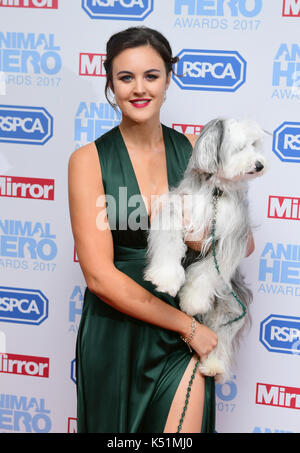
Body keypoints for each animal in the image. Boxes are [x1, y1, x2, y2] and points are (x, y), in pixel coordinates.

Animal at [144, 118, 266, 380]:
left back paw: (213, 365)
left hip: (230, 306)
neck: (215, 192)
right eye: (241, 147)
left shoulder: (228, 238)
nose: (259, 164)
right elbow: (169, 245)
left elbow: (206, 272)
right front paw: (166, 279)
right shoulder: (176, 211)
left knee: (222, 335)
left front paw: (192, 300)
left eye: (255, 144)